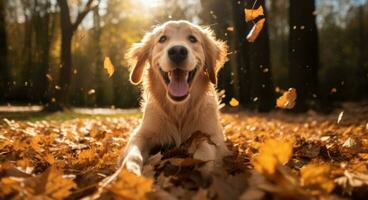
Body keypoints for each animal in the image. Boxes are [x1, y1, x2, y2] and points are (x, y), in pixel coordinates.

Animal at [121, 20, 229, 175]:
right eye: (162, 39)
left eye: (192, 39)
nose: (177, 51)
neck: (179, 109)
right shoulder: (142, 133)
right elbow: (133, 154)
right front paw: (129, 173)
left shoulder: (214, 135)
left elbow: (206, 150)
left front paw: (203, 169)